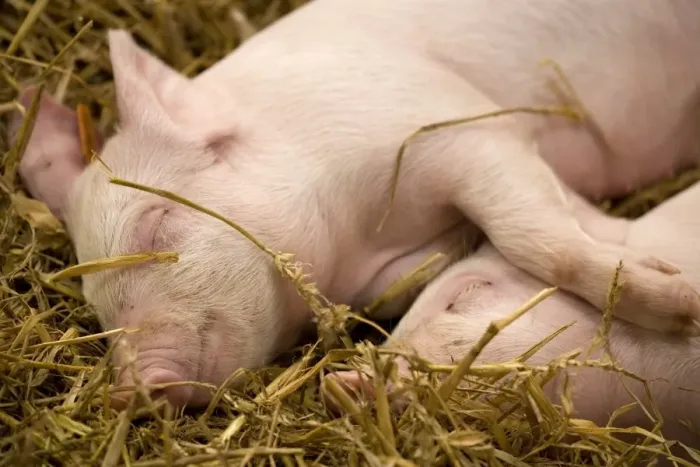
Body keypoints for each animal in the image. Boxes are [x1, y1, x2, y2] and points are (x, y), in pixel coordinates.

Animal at [9, 0, 700, 409]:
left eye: (156, 226)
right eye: (95, 305)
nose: (131, 390)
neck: (359, 242)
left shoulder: (463, 128)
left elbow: (533, 234)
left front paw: (679, 303)